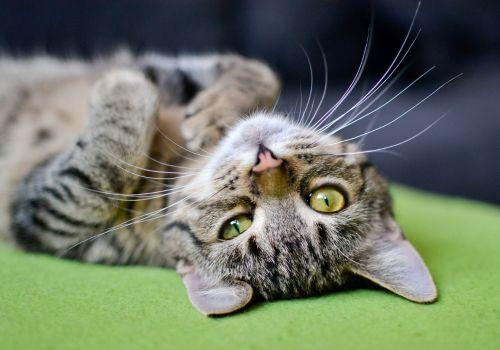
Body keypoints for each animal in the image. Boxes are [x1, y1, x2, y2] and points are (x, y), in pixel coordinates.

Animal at [0, 51, 436, 314]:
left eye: (233, 226)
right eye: (327, 199)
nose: (264, 161)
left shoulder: (48, 215)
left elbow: (98, 170)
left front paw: (123, 85)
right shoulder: (184, 72)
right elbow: (260, 70)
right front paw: (216, 112)